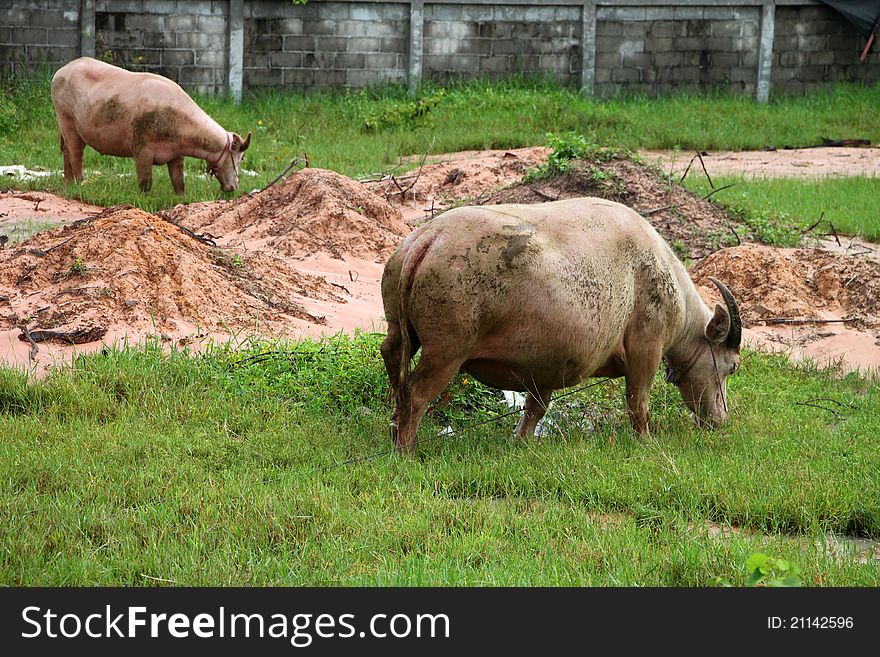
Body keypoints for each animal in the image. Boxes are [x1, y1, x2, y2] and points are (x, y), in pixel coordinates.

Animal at [49, 57, 249, 192]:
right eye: (239, 158)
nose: (234, 186)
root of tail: (62, 70)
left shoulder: (176, 155)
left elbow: (179, 181)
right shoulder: (142, 150)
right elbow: (145, 182)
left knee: (67, 152)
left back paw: (67, 185)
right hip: (65, 118)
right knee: (75, 153)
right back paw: (80, 184)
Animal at [380, 195, 744, 452]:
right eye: (732, 366)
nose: (720, 420)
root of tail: (428, 238)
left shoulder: (545, 368)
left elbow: (535, 409)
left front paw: (522, 442)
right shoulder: (647, 348)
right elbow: (637, 403)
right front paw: (645, 440)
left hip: (401, 331)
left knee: (393, 362)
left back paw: (395, 430)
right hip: (446, 352)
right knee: (414, 394)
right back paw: (407, 450)